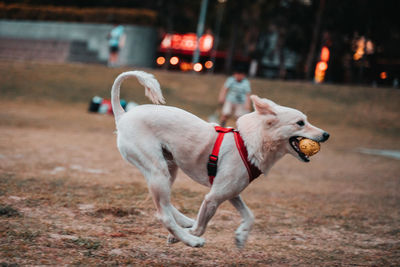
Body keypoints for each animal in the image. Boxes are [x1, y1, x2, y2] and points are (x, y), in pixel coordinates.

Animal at [109, 71, 328, 249]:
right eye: (300, 123)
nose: (326, 135)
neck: (249, 144)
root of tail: (123, 115)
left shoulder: (232, 192)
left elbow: (250, 216)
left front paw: (241, 236)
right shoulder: (213, 197)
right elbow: (201, 228)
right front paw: (183, 237)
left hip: (169, 167)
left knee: (166, 203)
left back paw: (185, 221)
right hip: (157, 169)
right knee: (163, 214)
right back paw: (190, 239)